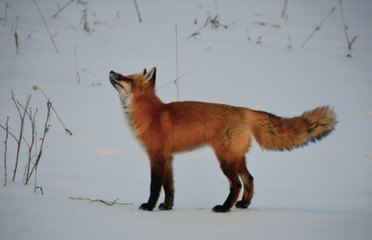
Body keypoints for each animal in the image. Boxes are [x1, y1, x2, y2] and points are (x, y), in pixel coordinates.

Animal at [108, 67, 338, 212]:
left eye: (126, 78)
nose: (111, 71)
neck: (151, 114)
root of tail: (246, 110)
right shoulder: (168, 158)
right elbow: (169, 187)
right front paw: (167, 207)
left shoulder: (156, 156)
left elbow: (154, 187)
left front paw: (149, 207)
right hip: (236, 158)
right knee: (249, 179)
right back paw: (243, 205)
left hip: (225, 160)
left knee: (236, 185)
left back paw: (224, 208)